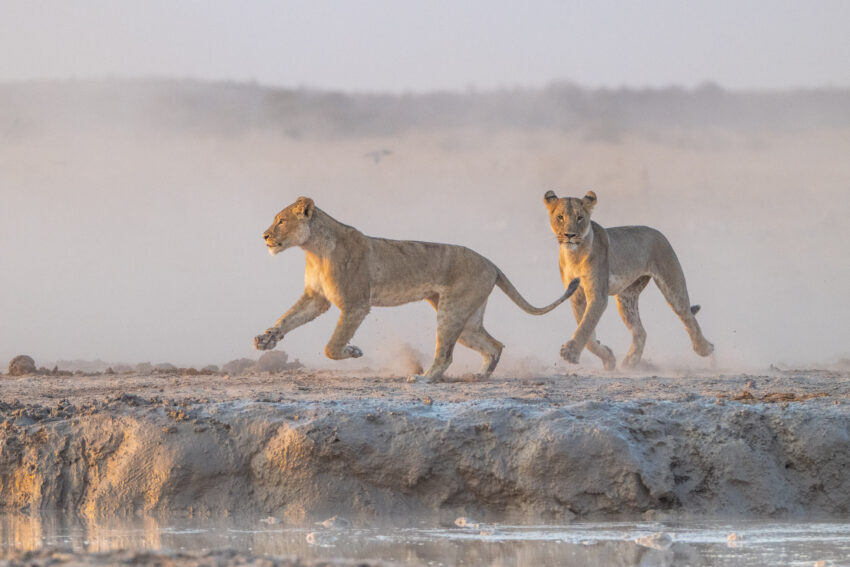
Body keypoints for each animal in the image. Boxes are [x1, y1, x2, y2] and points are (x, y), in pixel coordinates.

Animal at [255, 196, 579, 382]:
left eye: (281, 220)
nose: (265, 236)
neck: (313, 250)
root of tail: (491, 262)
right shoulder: (317, 298)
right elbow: (289, 317)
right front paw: (267, 338)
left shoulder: (356, 303)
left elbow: (332, 346)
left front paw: (353, 350)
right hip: (467, 319)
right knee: (494, 345)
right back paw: (480, 376)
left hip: (451, 310)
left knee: (446, 355)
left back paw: (424, 379)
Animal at [543, 190, 714, 370]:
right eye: (560, 217)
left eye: (580, 218)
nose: (569, 235)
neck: (574, 254)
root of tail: (656, 231)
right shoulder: (576, 295)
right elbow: (587, 332)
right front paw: (608, 358)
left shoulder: (598, 295)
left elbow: (586, 325)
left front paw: (570, 353)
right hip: (626, 298)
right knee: (641, 332)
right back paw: (630, 362)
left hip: (672, 285)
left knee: (688, 316)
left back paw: (705, 348)